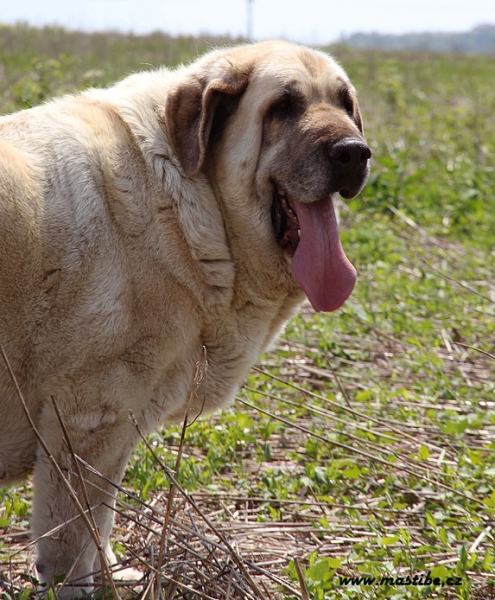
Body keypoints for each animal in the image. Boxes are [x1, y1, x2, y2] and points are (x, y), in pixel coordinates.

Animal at [0, 38, 370, 596]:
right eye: (283, 107)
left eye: (346, 104)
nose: (354, 152)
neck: (189, 205)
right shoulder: (88, 422)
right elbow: (72, 540)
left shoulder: (111, 431)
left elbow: (100, 522)